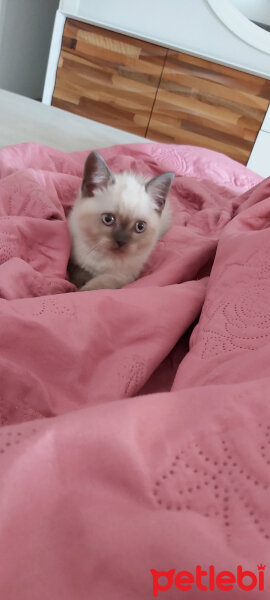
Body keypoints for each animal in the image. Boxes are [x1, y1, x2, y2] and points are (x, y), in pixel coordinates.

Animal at [66, 151, 174, 290]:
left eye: (140, 227)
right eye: (108, 219)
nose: (121, 242)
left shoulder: (122, 277)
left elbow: (95, 286)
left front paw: (79, 289)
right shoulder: (76, 262)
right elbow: (77, 274)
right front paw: (74, 285)